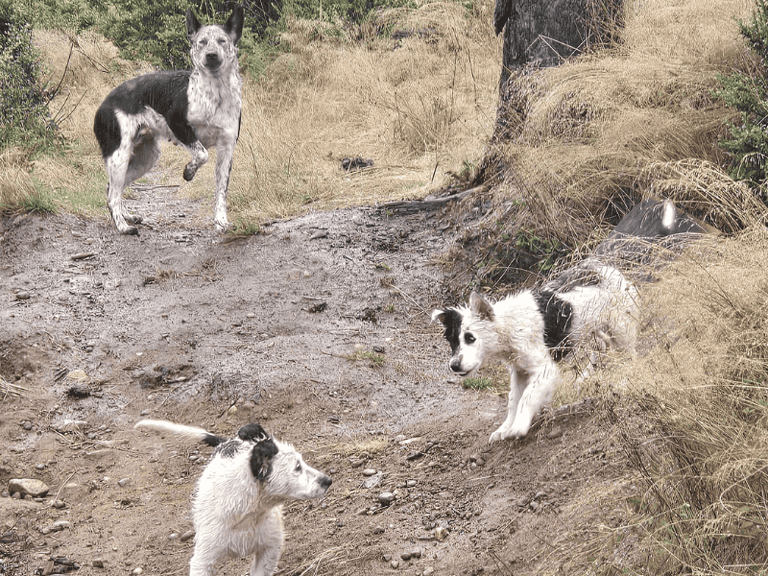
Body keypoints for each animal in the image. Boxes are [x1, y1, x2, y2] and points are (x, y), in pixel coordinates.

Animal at [94, 5, 243, 234]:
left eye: (222, 41)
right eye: (201, 42)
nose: (211, 55)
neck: (215, 94)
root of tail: (103, 105)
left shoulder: (227, 149)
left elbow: (221, 192)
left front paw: (221, 221)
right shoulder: (178, 124)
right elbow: (202, 154)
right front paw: (189, 172)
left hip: (145, 158)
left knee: (112, 190)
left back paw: (128, 216)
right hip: (120, 156)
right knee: (112, 196)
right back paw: (123, 226)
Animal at [135, 418, 332, 576]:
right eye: (297, 467)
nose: (328, 480)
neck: (247, 514)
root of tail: (230, 441)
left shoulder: (270, 549)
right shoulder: (202, 561)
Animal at [428, 264, 640, 444]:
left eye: (470, 338)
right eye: (452, 341)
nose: (454, 366)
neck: (508, 326)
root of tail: (609, 271)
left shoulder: (544, 369)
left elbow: (528, 396)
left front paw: (518, 427)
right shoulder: (519, 371)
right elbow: (514, 400)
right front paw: (505, 428)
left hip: (621, 328)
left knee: (631, 355)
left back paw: (625, 380)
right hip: (592, 330)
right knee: (602, 346)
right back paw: (584, 379)